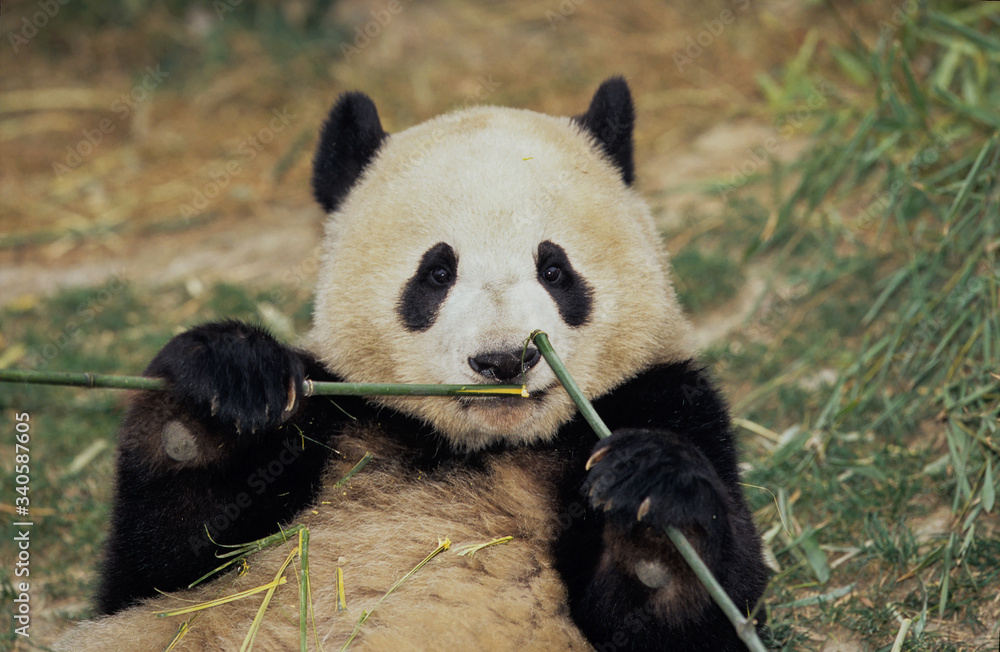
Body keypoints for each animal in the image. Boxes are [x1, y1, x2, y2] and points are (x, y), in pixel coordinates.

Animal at [59, 77, 768, 651]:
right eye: (437, 273)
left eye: (555, 268)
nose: (502, 359)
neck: (478, 447)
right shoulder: (337, 413)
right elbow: (160, 571)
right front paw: (225, 391)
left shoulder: (665, 397)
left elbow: (696, 613)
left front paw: (651, 503)